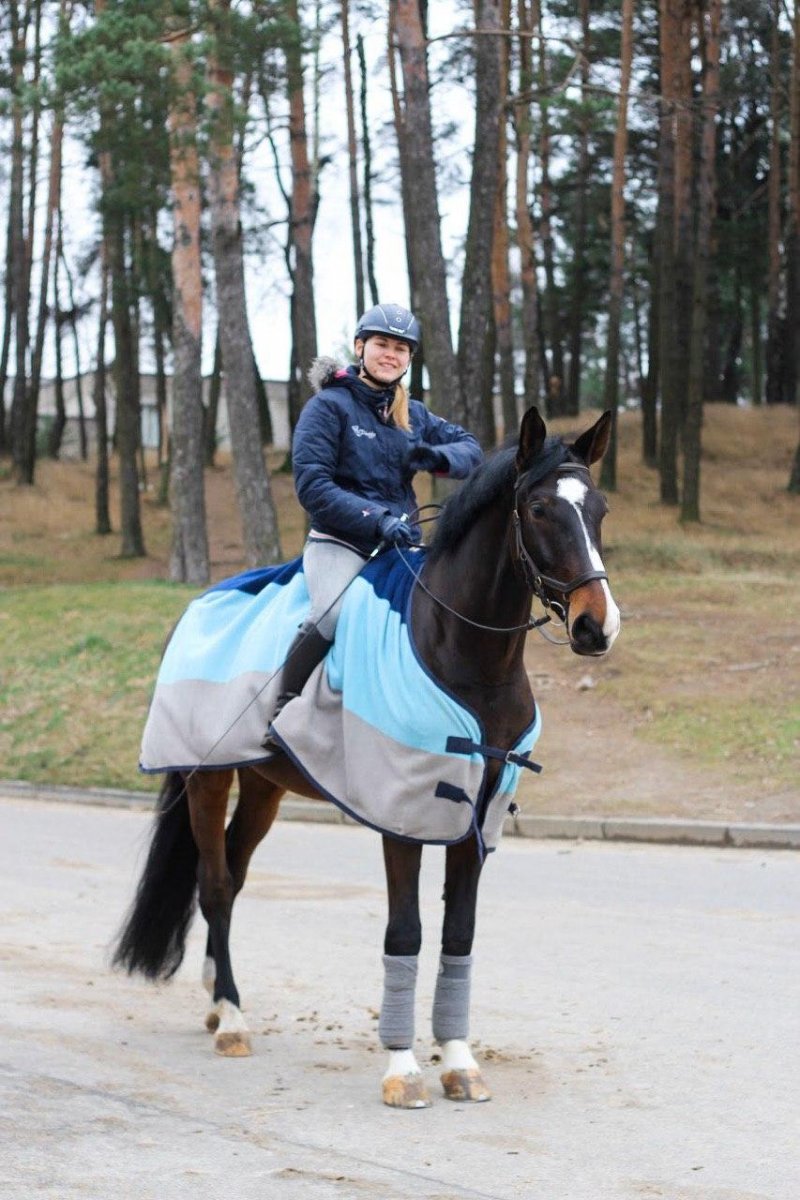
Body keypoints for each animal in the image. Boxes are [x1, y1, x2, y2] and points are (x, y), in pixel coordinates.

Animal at [112, 408, 623, 1108]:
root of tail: (201, 603)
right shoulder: (402, 815)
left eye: (598, 510)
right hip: (206, 781)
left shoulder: (475, 818)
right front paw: (403, 1070)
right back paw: (233, 1019)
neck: (465, 655)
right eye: (541, 509)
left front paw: (459, 1061)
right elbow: (405, 931)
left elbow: (459, 933)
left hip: (265, 789)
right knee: (214, 885)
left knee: (234, 879)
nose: (597, 626)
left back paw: (219, 1002)